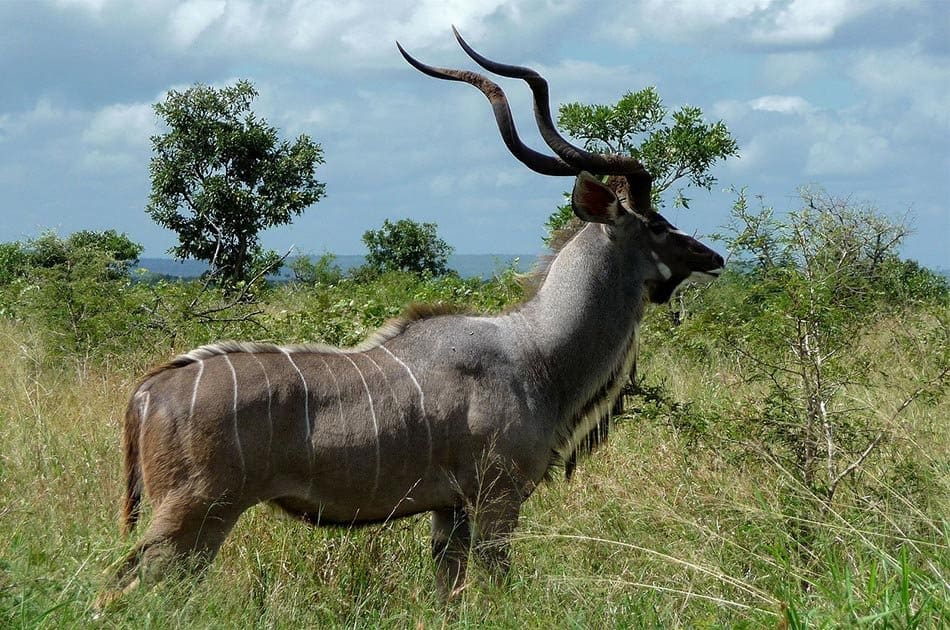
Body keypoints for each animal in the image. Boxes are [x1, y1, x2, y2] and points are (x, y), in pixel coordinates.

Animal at [101, 28, 724, 606]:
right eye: (657, 225)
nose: (713, 258)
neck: (534, 350)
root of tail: (146, 393)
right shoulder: (496, 500)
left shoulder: (450, 511)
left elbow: (449, 592)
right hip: (192, 517)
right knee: (122, 590)